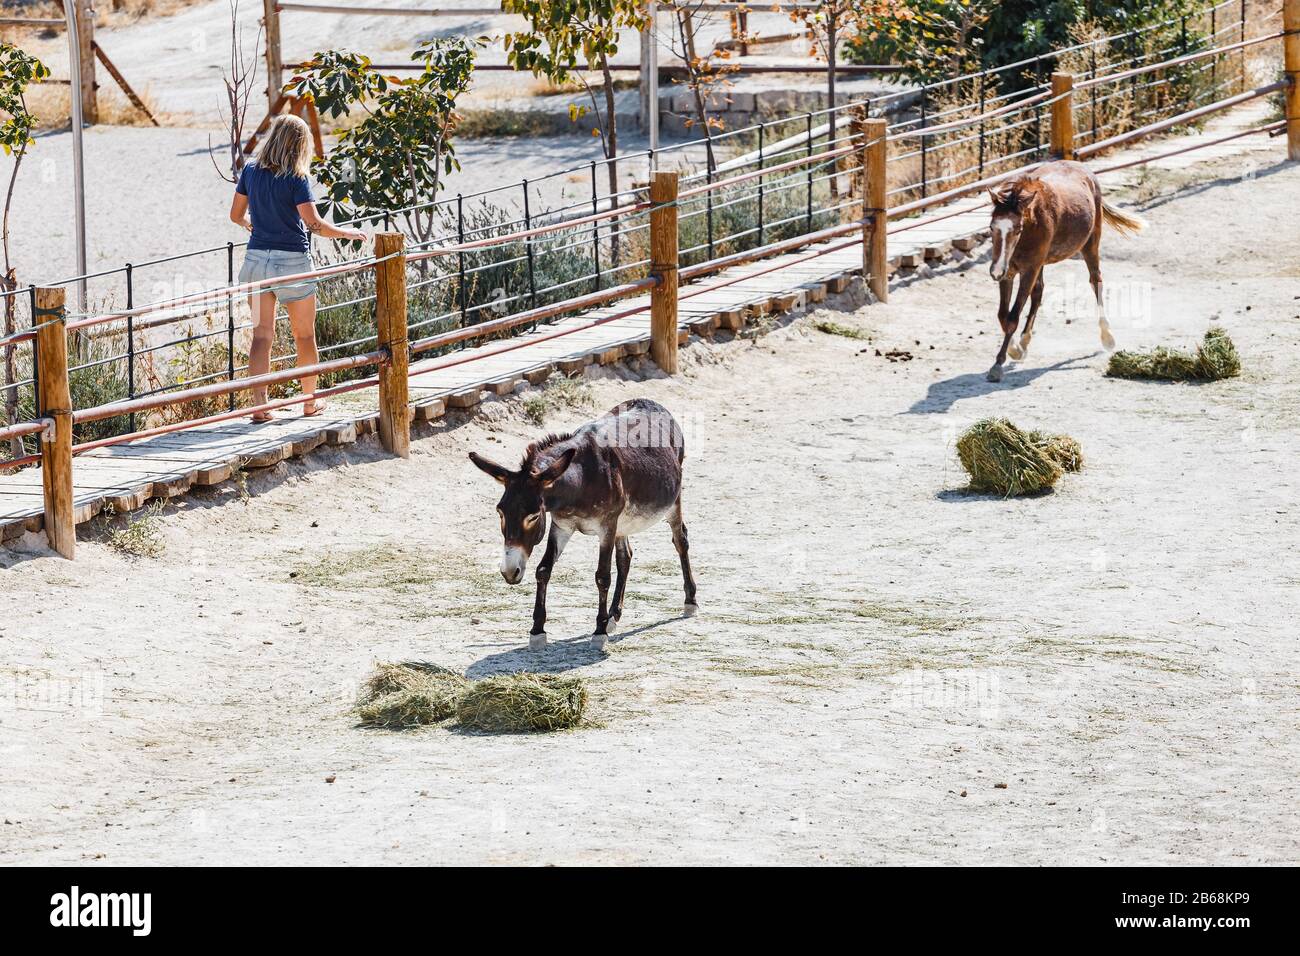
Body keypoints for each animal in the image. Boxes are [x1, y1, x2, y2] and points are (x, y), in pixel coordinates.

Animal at [469, 398, 697, 652]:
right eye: (500, 512)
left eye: (533, 517)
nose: (510, 572)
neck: (580, 481)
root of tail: (651, 402)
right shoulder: (562, 526)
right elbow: (543, 570)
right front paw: (537, 630)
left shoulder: (606, 527)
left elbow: (602, 577)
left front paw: (598, 632)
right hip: (623, 522)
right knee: (625, 556)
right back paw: (613, 615)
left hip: (672, 501)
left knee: (680, 541)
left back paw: (690, 601)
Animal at [984, 160, 1145, 383]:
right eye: (992, 227)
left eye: (1017, 229)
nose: (995, 271)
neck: (1032, 222)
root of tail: (1083, 168)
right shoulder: (1010, 272)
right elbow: (1003, 315)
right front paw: (1015, 350)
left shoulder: (1028, 270)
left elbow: (1012, 317)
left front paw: (1000, 363)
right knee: (1039, 292)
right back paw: (1025, 342)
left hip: (1090, 244)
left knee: (1096, 281)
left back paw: (1107, 338)